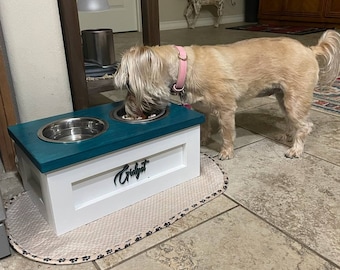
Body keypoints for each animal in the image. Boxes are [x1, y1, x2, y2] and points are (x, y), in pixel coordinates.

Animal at [115, 29, 340, 160]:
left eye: (128, 85)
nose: (128, 109)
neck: (185, 67)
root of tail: (310, 50)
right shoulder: (202, 109)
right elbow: (205, 126)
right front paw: (203, 140)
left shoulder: (225, 110)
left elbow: (227, 133)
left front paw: (226, 152)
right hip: (283, 97)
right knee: (293, 122)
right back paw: (288, 135)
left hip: (295, 99)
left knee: (305, 126)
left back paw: (296, 149)